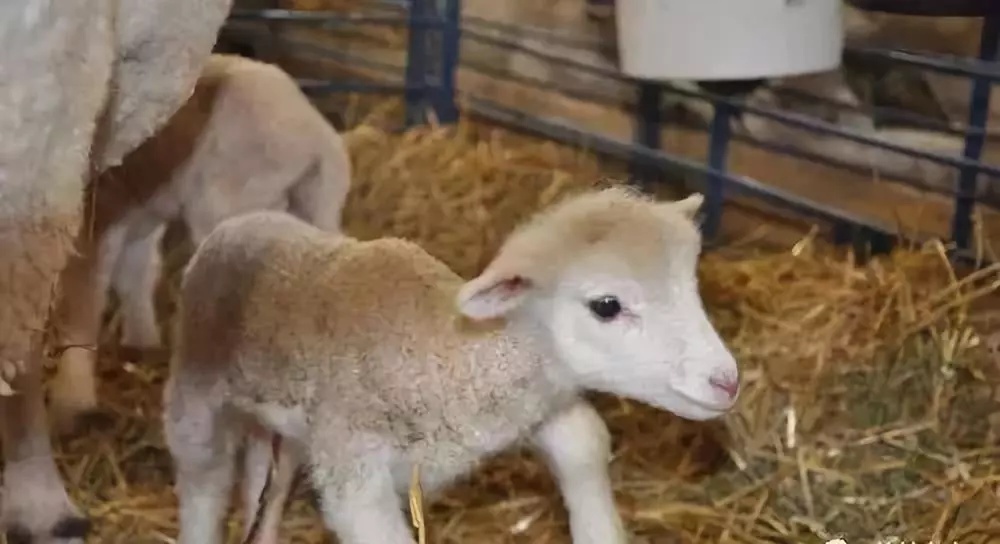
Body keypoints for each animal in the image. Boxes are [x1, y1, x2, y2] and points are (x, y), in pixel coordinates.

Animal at [47, 53, 354, 432]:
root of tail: (317, 139)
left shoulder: (99, 211)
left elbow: (85, 296)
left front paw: (71, 401)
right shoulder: (139, 210)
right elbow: (135, 275)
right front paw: (142, 343)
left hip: (227, 208)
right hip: (314, 209)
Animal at [164, 187, 744, 544]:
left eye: (691, 284)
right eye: (606, 305)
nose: (727, 381)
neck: (441, 351)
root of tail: (246, 221)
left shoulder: (527, 404)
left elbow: (582, 441)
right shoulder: (354, 472)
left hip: (282, 424)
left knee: (268, 476)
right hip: (196, 393)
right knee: (203, 483)